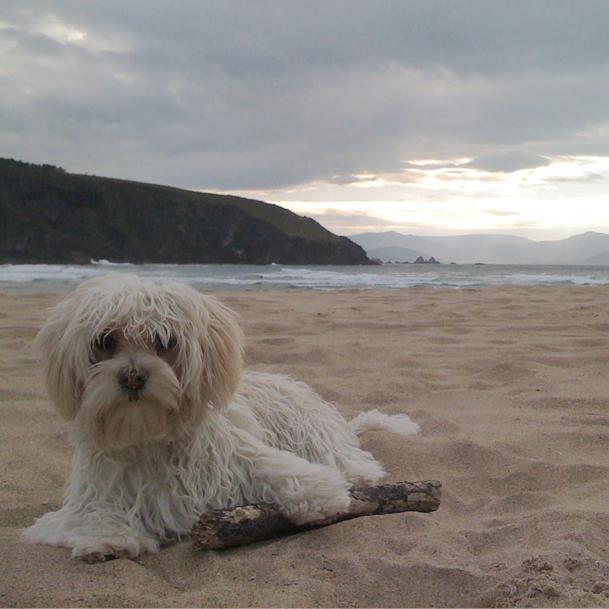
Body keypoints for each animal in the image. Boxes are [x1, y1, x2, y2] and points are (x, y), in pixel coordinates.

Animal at [22, 276, 418, 560]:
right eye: (104, 341)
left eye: (165, 340)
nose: (132, 376)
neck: (150, 437)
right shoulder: (94, 492)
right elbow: (90, 516)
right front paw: (106, 539)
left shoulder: (238, 456)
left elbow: (274, 467)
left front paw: (320, 495)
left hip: (313, 435)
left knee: (356, 463)